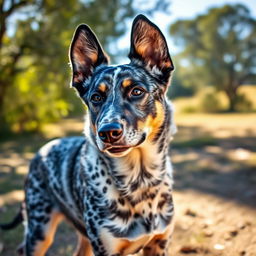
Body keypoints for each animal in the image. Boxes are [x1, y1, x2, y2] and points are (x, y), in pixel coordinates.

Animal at [0, 14, 176, 256]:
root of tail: (43, 150)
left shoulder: (159, 243)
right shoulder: (105, 248)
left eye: (136, 91)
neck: (140, 181)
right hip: (39, 232)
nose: (108, 132)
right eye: (96, 97)